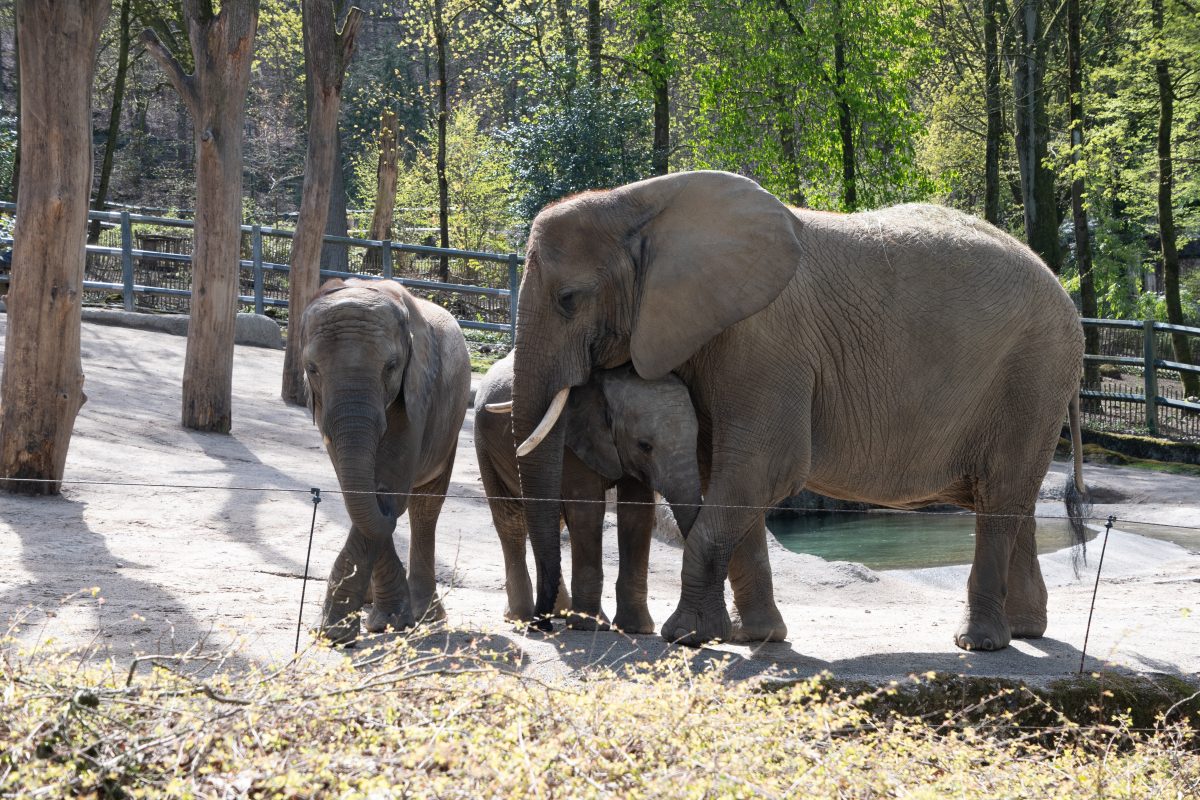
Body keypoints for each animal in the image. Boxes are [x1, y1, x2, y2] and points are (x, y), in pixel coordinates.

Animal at [298, 277, 468, 642]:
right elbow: (360, 494)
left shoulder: (419, 391)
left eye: (391, 367)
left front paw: (347, 630)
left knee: (425, 508)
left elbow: (389, 487)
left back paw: (427, 615)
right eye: (311, 369)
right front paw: (345, 629)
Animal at [475, 352, 700, 633]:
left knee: (554, 519)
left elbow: (638, 512)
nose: (542, 626)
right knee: (510, 521)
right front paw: (589, 625)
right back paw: (523, 617)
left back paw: (557, 612)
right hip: (484, 444)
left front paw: (636, 629)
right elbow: (587, 509)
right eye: (645, 445)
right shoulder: (574, 441)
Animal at [511, 169, 1094, 652]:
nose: (542, 623)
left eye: (568, 299)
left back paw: (979, 643)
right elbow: (723, 474)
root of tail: (1068, 301)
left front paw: (688, 637)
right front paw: (756, 638)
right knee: (1011, 498)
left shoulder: (766, 345)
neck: (637, 201)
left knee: (1000, 497)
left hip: (1034, 373)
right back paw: (1026, 631)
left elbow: (761, 470)